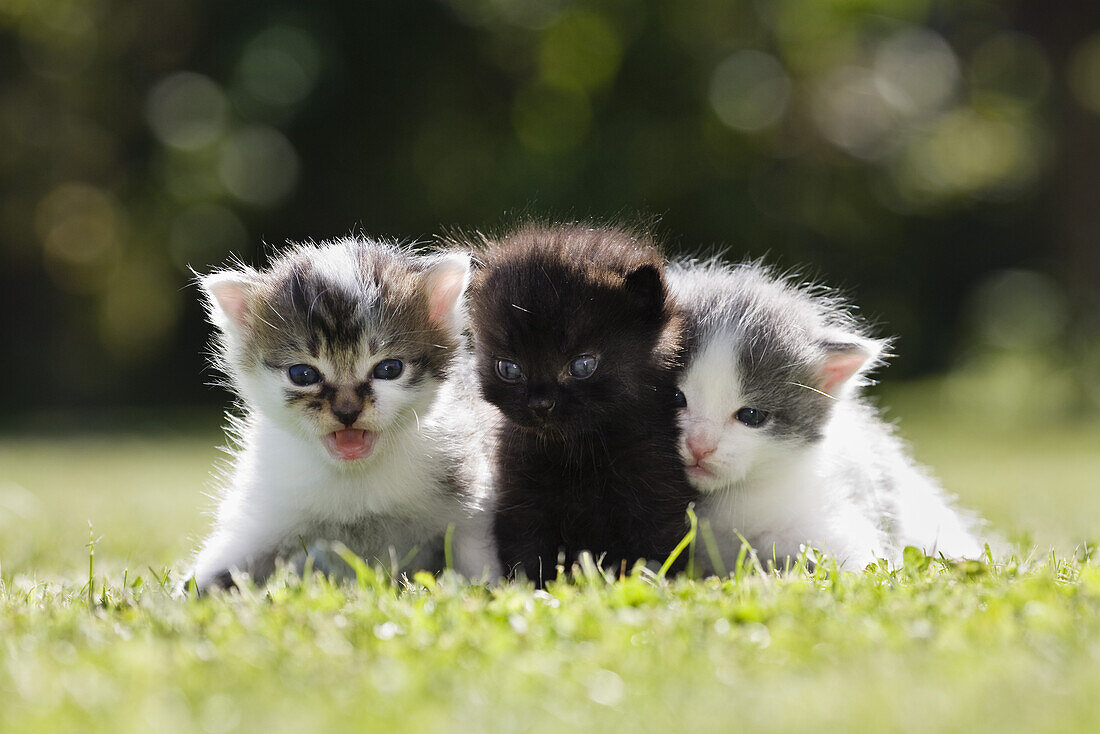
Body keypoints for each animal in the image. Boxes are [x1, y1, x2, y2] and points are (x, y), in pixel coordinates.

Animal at [185, 238, 495, 594]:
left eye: (389, 369)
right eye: (303, 374)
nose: (347, 411)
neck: (355, 477)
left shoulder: (469, 494)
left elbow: (479, 559)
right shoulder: (268, 507)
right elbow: (222, 566)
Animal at [464, 224, 695, 585]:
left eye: (583, 366)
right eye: (509, 369)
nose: (541, 403)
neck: (577, 451)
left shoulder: (659, 491)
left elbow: (657, 553)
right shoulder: (520, 500)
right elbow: (528, 556)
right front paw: (533, 590)